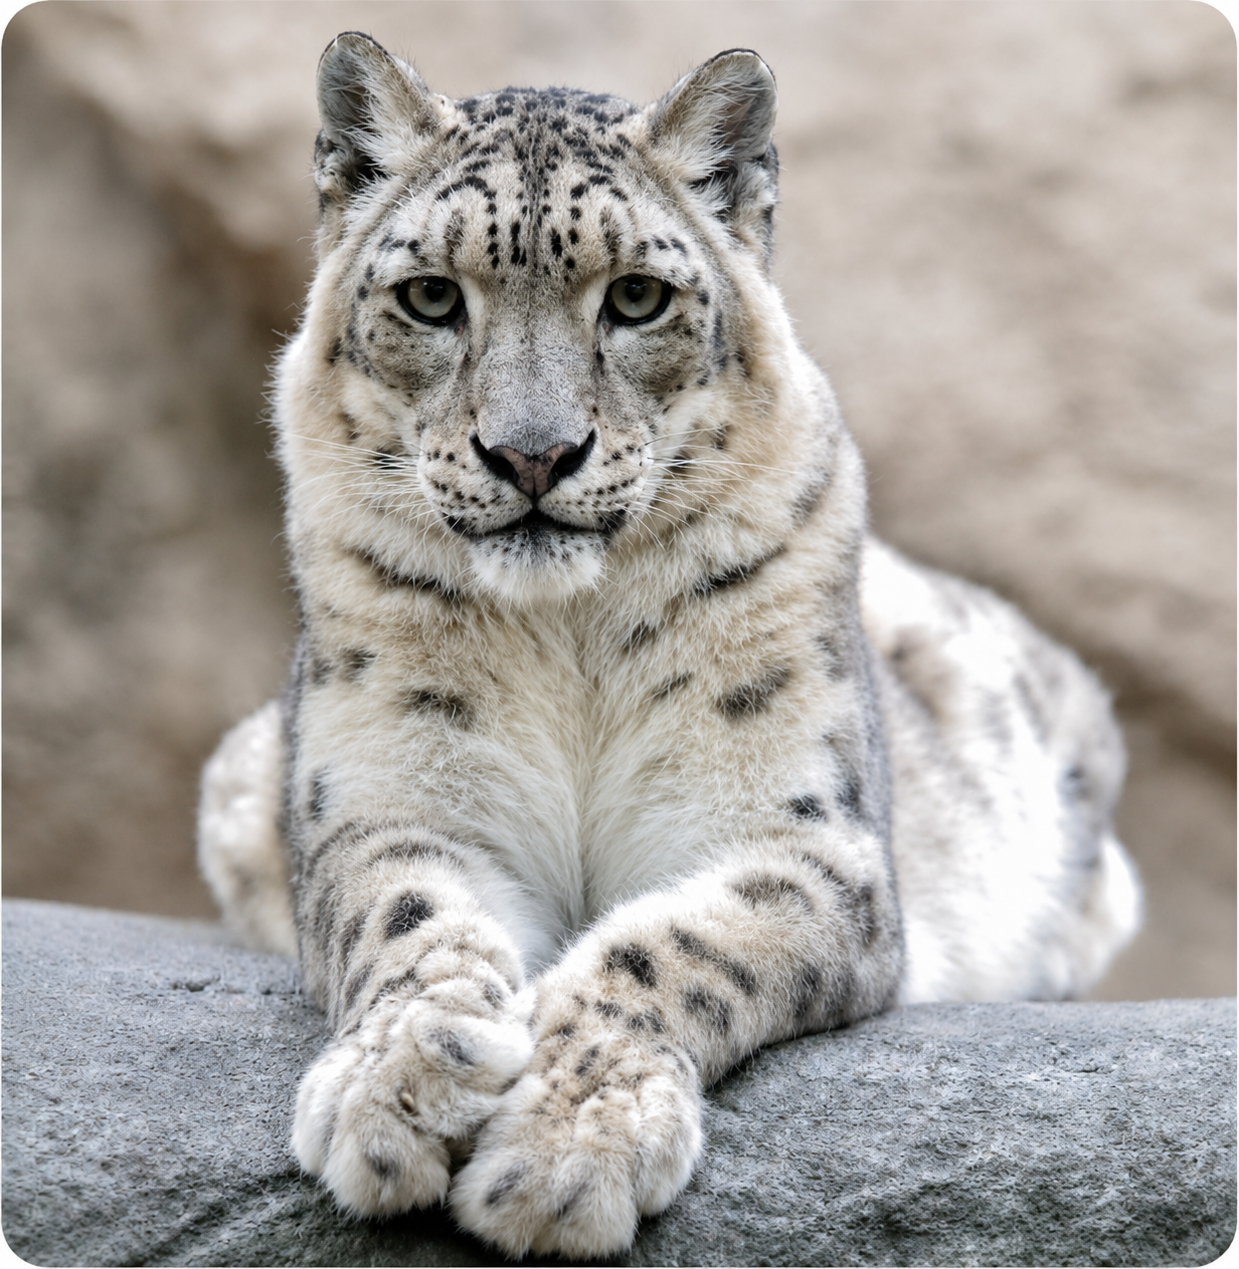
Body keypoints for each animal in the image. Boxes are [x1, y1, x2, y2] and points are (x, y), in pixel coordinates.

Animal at [197, 34, 1141, 1259]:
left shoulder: (799, 837)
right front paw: (400, 1087)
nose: (533, 454)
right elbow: (405, 918)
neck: (569, 637)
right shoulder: (384, 799)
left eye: (637, 296)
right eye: (431, 295)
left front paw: (563, 1152)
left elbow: (678, 942)